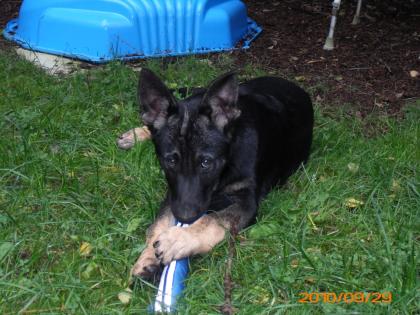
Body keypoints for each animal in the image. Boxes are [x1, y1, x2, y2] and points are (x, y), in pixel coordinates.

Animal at [130, 69, 314, 282]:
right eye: (170, 161)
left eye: (206, 162)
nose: (185, 216)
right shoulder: (173, 193)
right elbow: (158, 223)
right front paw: (147, 258)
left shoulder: (246, 202)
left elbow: (212, 220)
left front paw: (177, 239)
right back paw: (134, 135)